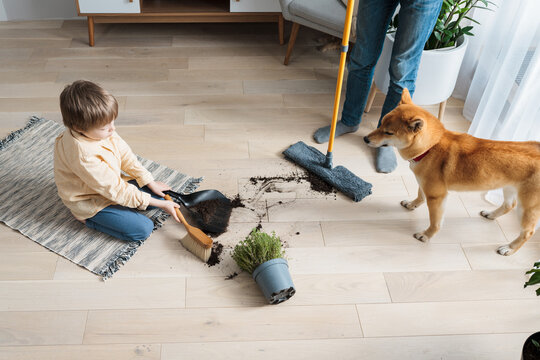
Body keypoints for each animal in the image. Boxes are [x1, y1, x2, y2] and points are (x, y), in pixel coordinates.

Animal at [364, 88, 536, 255]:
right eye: (380, 123)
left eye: (389, 132)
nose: (365, 139)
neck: (430, 147)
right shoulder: (424, 184)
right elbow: (420, 196)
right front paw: (412, 204)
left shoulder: (437, 196)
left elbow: (435, 221)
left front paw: (426, 235)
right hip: (509, 188)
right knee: (509, 205)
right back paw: (491, 214)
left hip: (527, 207)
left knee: (528, 232)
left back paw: (509, 248)